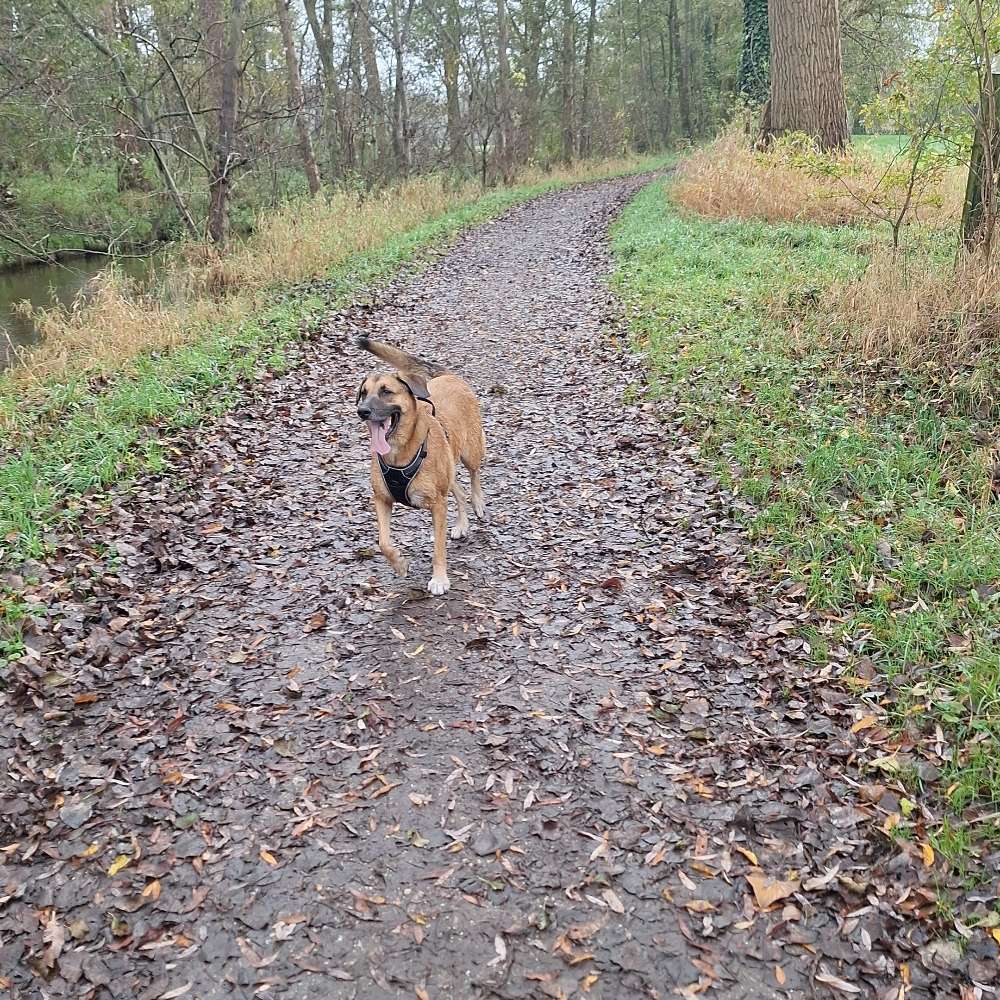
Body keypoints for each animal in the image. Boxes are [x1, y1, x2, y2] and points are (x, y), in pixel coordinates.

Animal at [358, 336, 486, 592]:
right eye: (364, 393)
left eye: (386, 392)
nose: (362, 411)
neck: (398, 454)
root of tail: (448, 375)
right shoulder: (382, 499)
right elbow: (383, 542)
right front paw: (399, 564)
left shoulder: (437, 505)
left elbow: (438, 549)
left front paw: (439, 579)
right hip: (448, 467)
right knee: (459, 491)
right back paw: (462, 523)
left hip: (470, 451)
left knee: (474, 474)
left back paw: (478, 503)